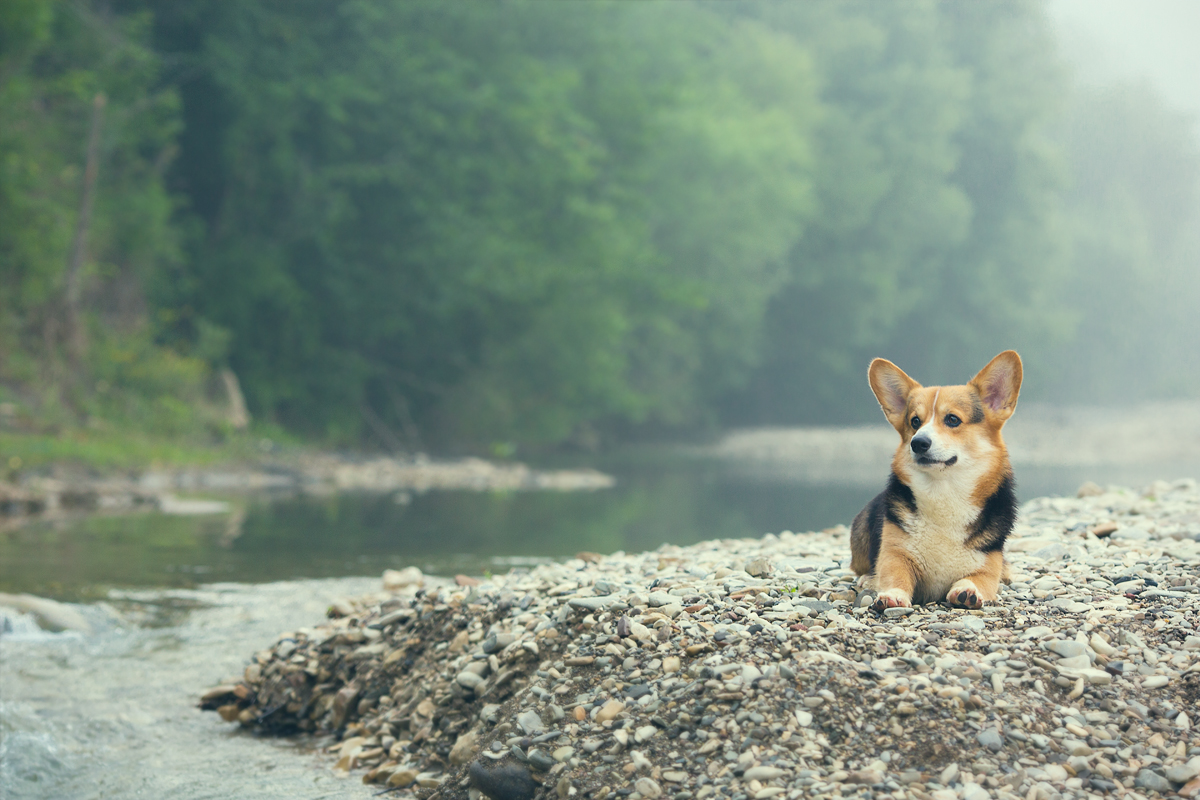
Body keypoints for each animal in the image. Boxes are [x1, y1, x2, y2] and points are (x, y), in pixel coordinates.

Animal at [854, 352, 1022, 614]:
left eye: (952, 419)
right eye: (915, 422)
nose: (918, 443)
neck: (944, 491)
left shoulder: (987, 566)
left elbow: (977, 579)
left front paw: (968, 592)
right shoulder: (896, 553)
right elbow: (895, 574)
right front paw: (892, 595)